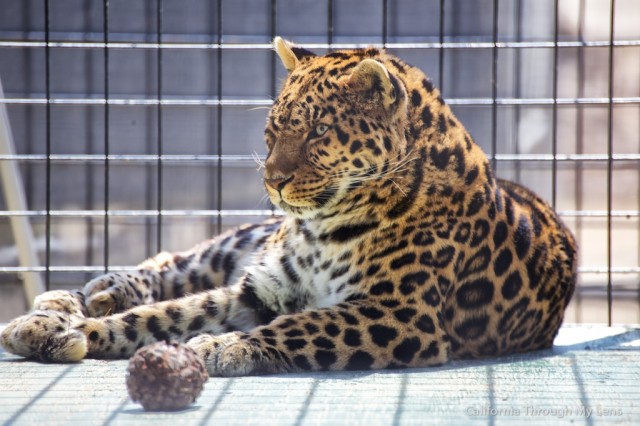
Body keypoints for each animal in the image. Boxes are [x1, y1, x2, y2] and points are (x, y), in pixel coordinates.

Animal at [0, 36, 576, 376]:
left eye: (319, 131)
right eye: (273, 130)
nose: (273, 181)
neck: (325, 228)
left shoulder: (401, 314)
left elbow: (298, 327)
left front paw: (218, 348)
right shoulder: (260, 288)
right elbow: (168, 312)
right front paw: (69, 331)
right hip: (238, 244)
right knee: (172, 263)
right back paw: (72, 300)